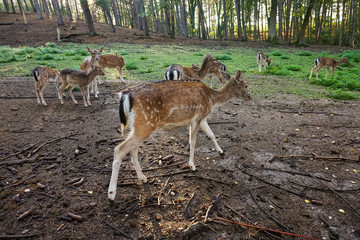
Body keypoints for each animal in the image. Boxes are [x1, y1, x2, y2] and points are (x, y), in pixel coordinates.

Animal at [108, 70, 252, 201]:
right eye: (245, 85)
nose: (249, 98)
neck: (211, 99)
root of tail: (125, 95)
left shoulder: (202, 118)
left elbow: (211, 134)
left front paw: (221, 151)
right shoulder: (197, 118)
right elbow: (193, 141)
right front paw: (192, 165)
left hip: (137, 126)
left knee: (133, 149)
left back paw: (142, 178)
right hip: (146, 123)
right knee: (119, 149)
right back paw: (111, 193)